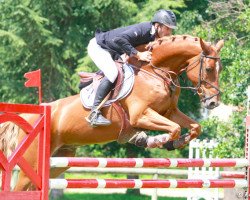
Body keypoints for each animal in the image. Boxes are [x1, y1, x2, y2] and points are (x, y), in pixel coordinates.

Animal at [0, 34, 224, 191]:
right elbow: (174, 128)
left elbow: (194, 127)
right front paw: (154, 140)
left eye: (219, 69)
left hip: (60, 158)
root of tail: (30, 115)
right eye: (209, 68)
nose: (213, 102)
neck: (155, 71)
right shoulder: (141, 115)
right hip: (31, 165)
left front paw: (174, 143)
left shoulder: (169, 111)